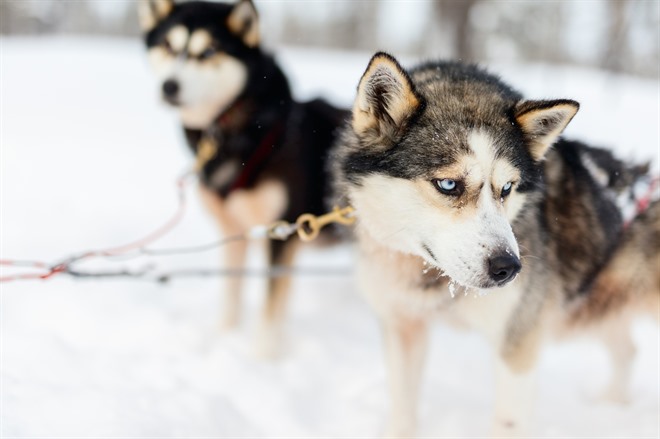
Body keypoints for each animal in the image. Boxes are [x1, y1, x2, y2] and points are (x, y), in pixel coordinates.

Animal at [137, 0, 348, 358]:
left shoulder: (282, 232)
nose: (169, 86)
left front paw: (263, 360)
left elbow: (269, 307)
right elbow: (232, 295)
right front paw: (224, 336)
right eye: (168, 45)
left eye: (209, 51)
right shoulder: (232, 231)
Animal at [332, 53, 656, 438]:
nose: (509, 268)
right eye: (448, 184)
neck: (435, 280)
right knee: (628, 350)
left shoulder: (517, 344)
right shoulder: (402, 325)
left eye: (507, 189)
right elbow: (403, 412)